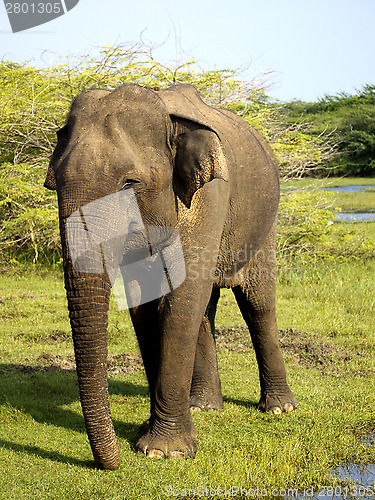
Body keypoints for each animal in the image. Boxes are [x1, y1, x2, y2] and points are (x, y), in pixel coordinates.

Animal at [44, 82, 296, 468]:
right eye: (55, 183)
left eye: (129, 184)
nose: (113, 463)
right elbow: (146, 305)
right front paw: (152, 437)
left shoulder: (210, 195)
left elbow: (183, 295)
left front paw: (166, 451)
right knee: (206, 308)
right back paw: (203, 406)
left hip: (266, 221)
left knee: (257, 302)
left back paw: (279, 408)